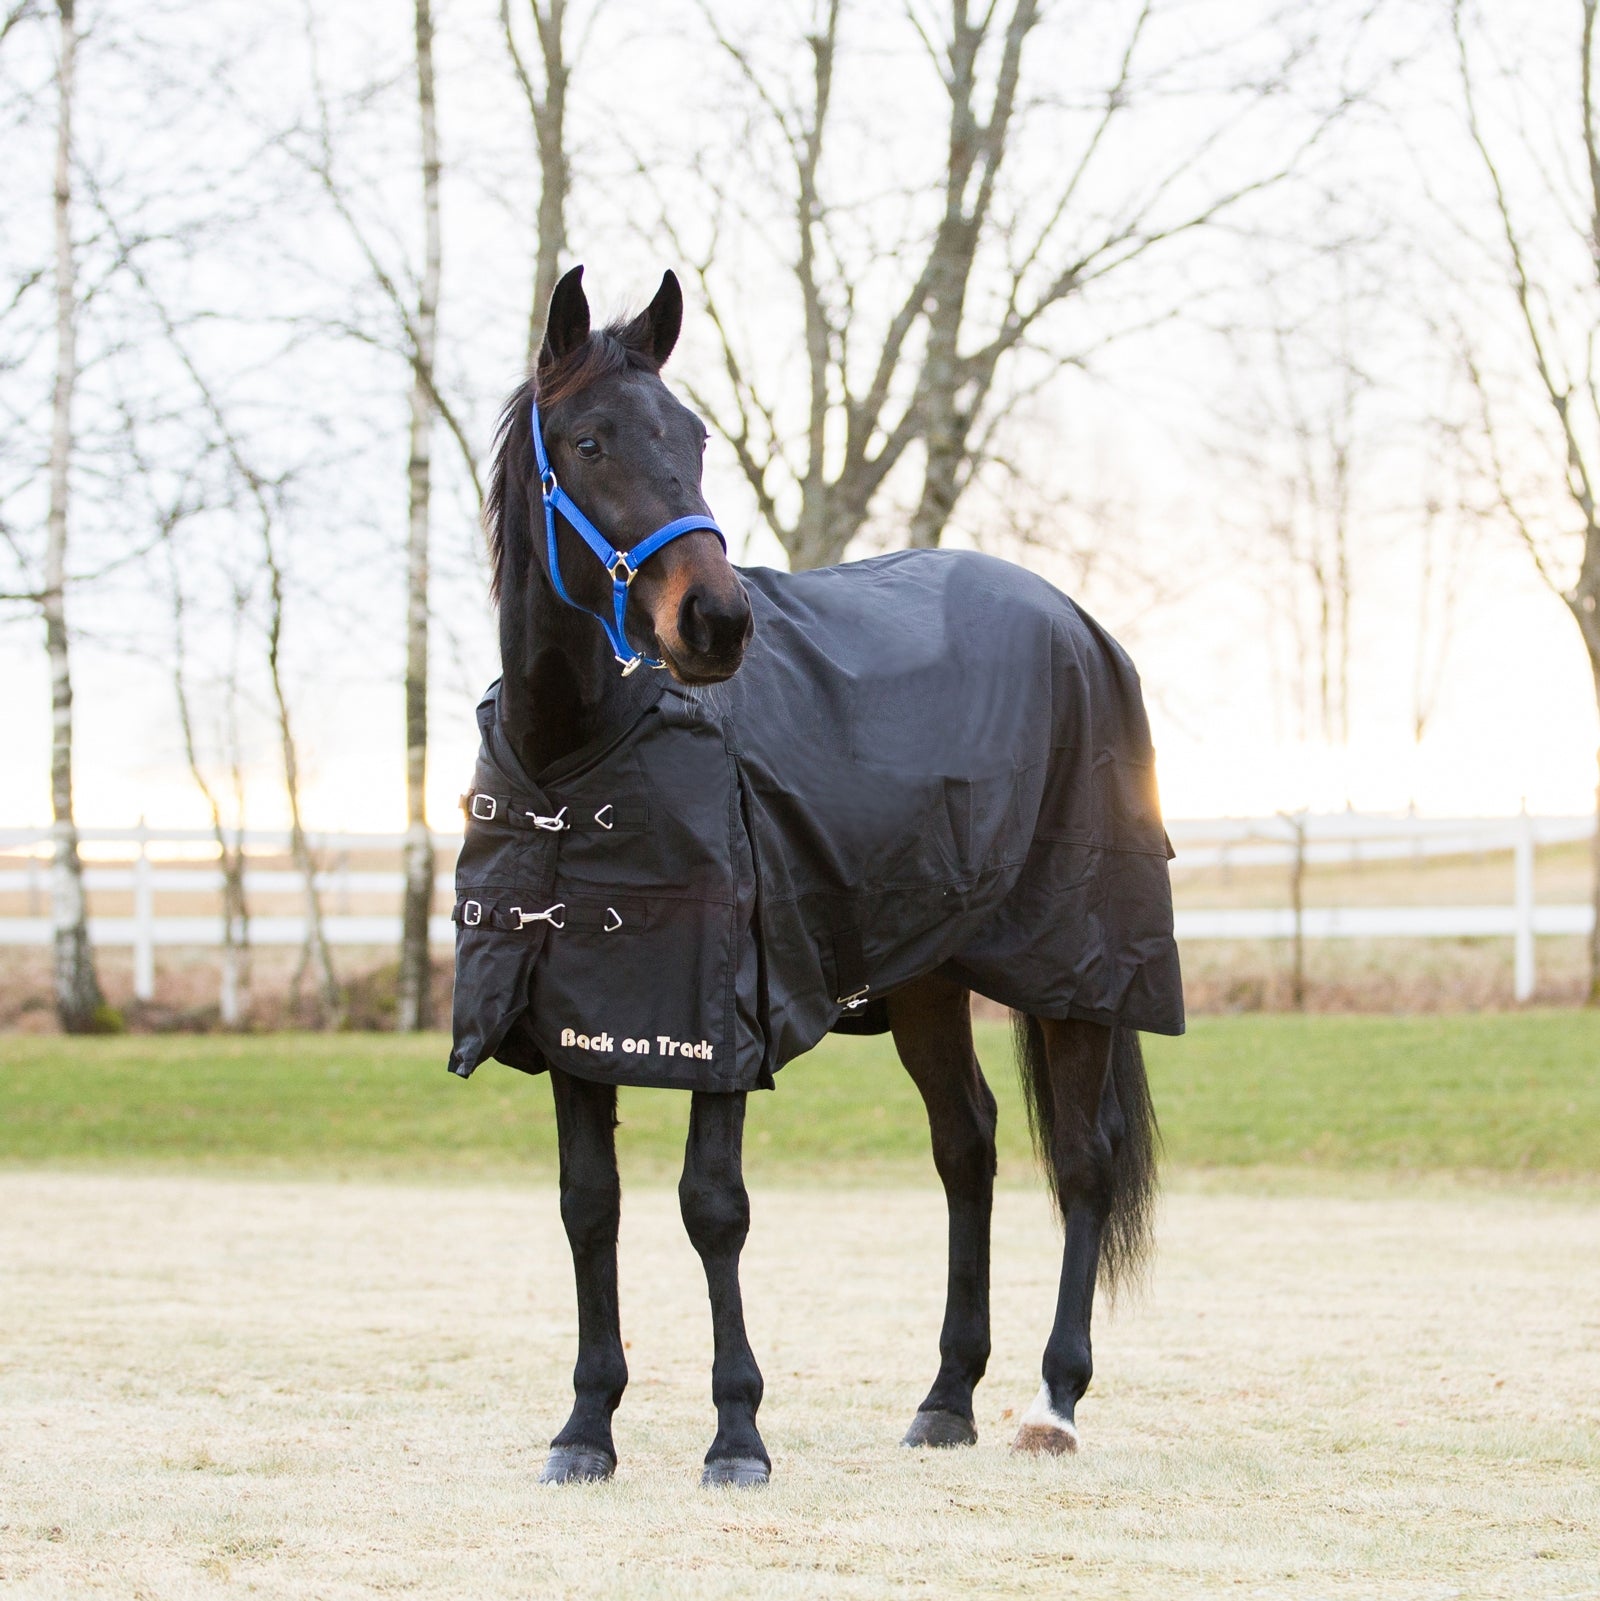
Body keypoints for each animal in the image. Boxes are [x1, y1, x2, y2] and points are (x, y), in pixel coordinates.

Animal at [451, 264, 1183, 1488]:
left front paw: (737, 1434)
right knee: (968, 1147)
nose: (715, 621)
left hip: (1076, 969)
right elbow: (588, 1207)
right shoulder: (573, 1020)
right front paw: (586, 1427)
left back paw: (1052, 1402)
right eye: (591, 442)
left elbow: (713, 1207)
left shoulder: (718, 1024)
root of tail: (1078, 624)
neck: (576, 754)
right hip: (931, 979)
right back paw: (946, 1397)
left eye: (693, 437)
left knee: (1082, 1162)